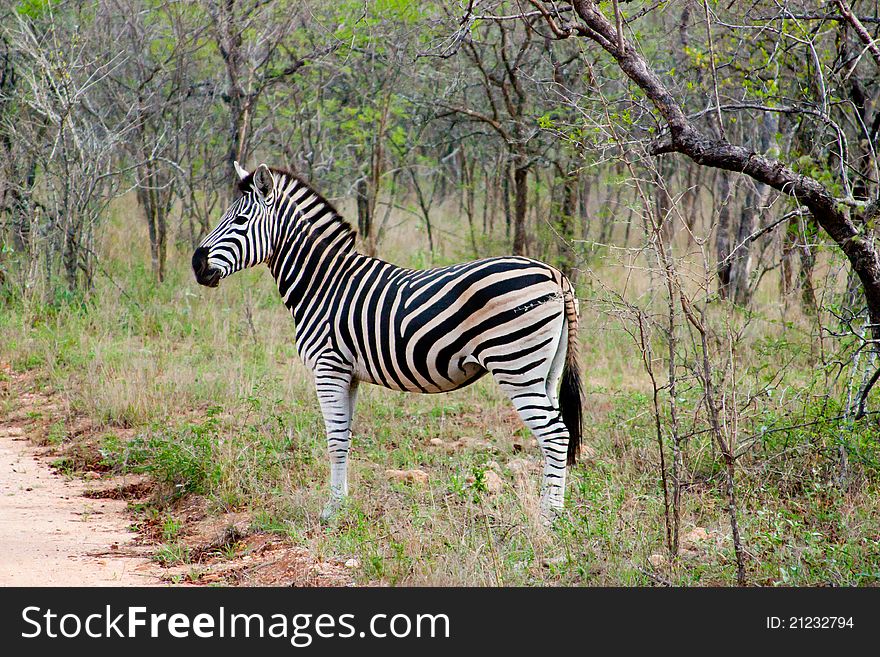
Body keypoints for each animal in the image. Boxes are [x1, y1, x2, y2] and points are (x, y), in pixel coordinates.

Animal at [192, 164, 580, 524]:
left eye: (240, 220)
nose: (196, 264)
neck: (322, 283)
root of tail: (554, 273)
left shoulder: (328, 367)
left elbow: (334, 440)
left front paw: (332, 511)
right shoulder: (348, 374)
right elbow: (345, 438)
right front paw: (342, 503)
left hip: (516, 364)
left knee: (556, 435)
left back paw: (550, 518)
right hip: (545, 370)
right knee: (556, 432)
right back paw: (550, 509)